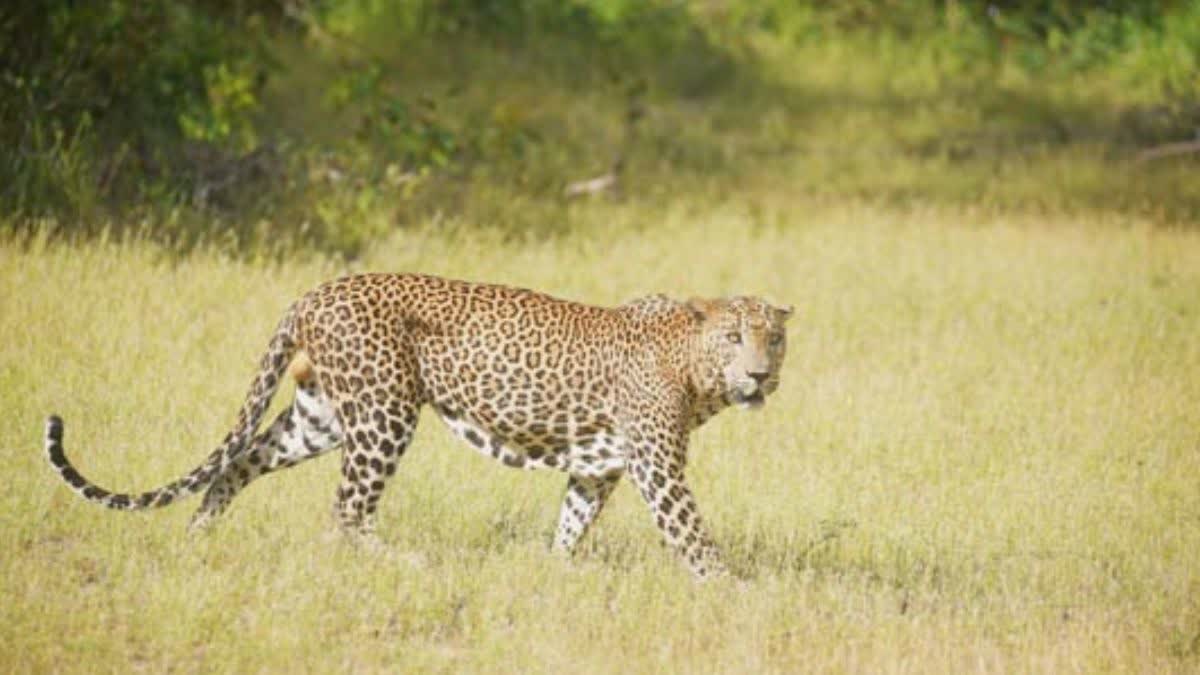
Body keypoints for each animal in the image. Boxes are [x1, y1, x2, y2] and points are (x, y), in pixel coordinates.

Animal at [44, 273, 791, 578]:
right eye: (733, 337)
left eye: (773, 338)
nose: (759, 375)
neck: (694, 371)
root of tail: (312, 292)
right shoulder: (657, 467)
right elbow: (693, 536)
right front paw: (735, 591)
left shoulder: (597, 467)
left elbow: (571, 524)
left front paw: (554, 574)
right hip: (384, 411)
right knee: (346, 507)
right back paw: (404, 561)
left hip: (321, 416)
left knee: (239, 461)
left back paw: (199, 534)